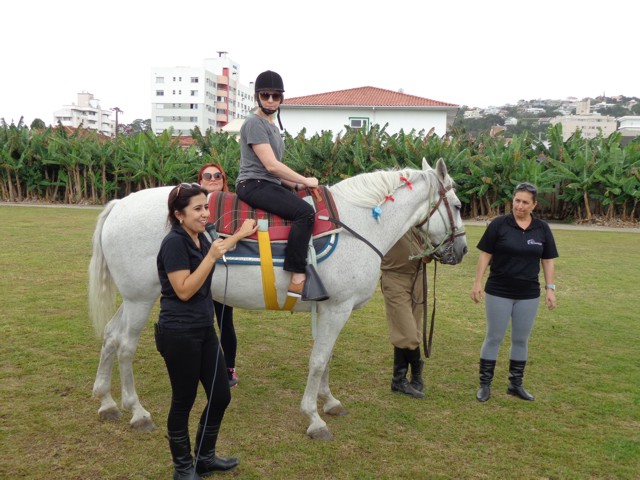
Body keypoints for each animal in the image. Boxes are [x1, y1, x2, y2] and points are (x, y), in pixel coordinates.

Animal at [89, 158, 464, 438]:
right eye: (458, 205)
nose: (460, 250)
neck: (358, 224)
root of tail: (119, 204)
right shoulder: (338, 308)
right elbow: (318, 360)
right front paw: (314, 417)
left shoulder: (327, 308)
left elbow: (325, 357)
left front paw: (329, 401)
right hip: (141, 299)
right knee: (125, 346)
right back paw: (137, 411)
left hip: (136, 297)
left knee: (109, 336)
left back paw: (107, 402)